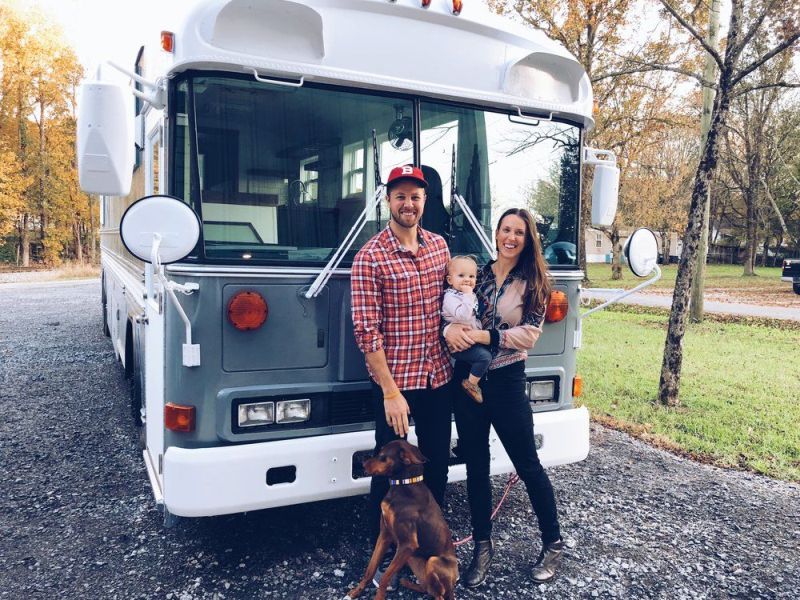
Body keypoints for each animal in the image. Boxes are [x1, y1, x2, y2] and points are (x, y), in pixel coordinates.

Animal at [346, 438, 456, 596]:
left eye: (383, 456)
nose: (362, 462)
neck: (403, 485)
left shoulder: (407, 544)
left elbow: (385, 578)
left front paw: (379, 597)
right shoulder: (385, 534)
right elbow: (370, 569)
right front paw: (355, 592)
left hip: (432, 561)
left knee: (439, 594)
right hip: (413, 559)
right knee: (428, 588)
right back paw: (407, 583)